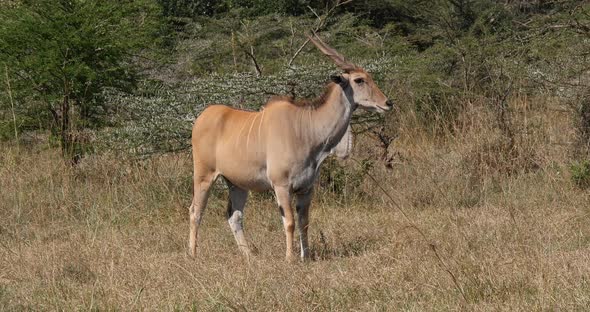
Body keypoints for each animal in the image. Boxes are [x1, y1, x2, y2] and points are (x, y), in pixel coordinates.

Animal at [190, 33, 394, 260]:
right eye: (359, 80)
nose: (388, 103)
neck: (305, 128)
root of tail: (202, 117)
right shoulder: (281, 185)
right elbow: (289, 222)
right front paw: (290, 258)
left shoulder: (306, 188)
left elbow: (304, 222)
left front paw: (306, 256)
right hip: (204, 175)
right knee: (195, 211)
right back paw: (193, 255)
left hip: (237, 183)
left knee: (234, 215)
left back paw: (249, 256)